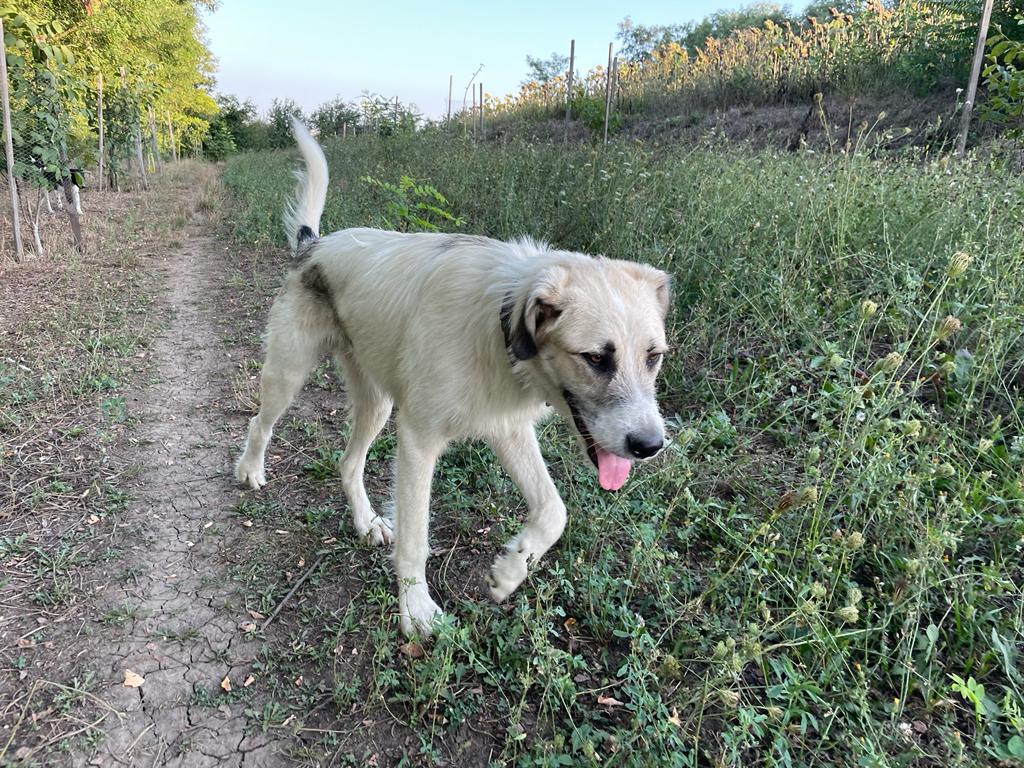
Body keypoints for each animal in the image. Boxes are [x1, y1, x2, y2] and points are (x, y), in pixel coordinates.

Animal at [235, 119, 671, 637]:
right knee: (260, 423)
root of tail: (313, 244)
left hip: (377, 402)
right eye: (596, 358)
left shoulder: (507, 428)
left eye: (654, 357)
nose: (650, 446)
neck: (500, 326)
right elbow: (416, 538)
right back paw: (251, 469)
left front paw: (511, 570)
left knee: (348, 462)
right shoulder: (418, 441)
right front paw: (417, 609)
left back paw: (366, 521)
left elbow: (554, 511)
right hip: (289, 372)